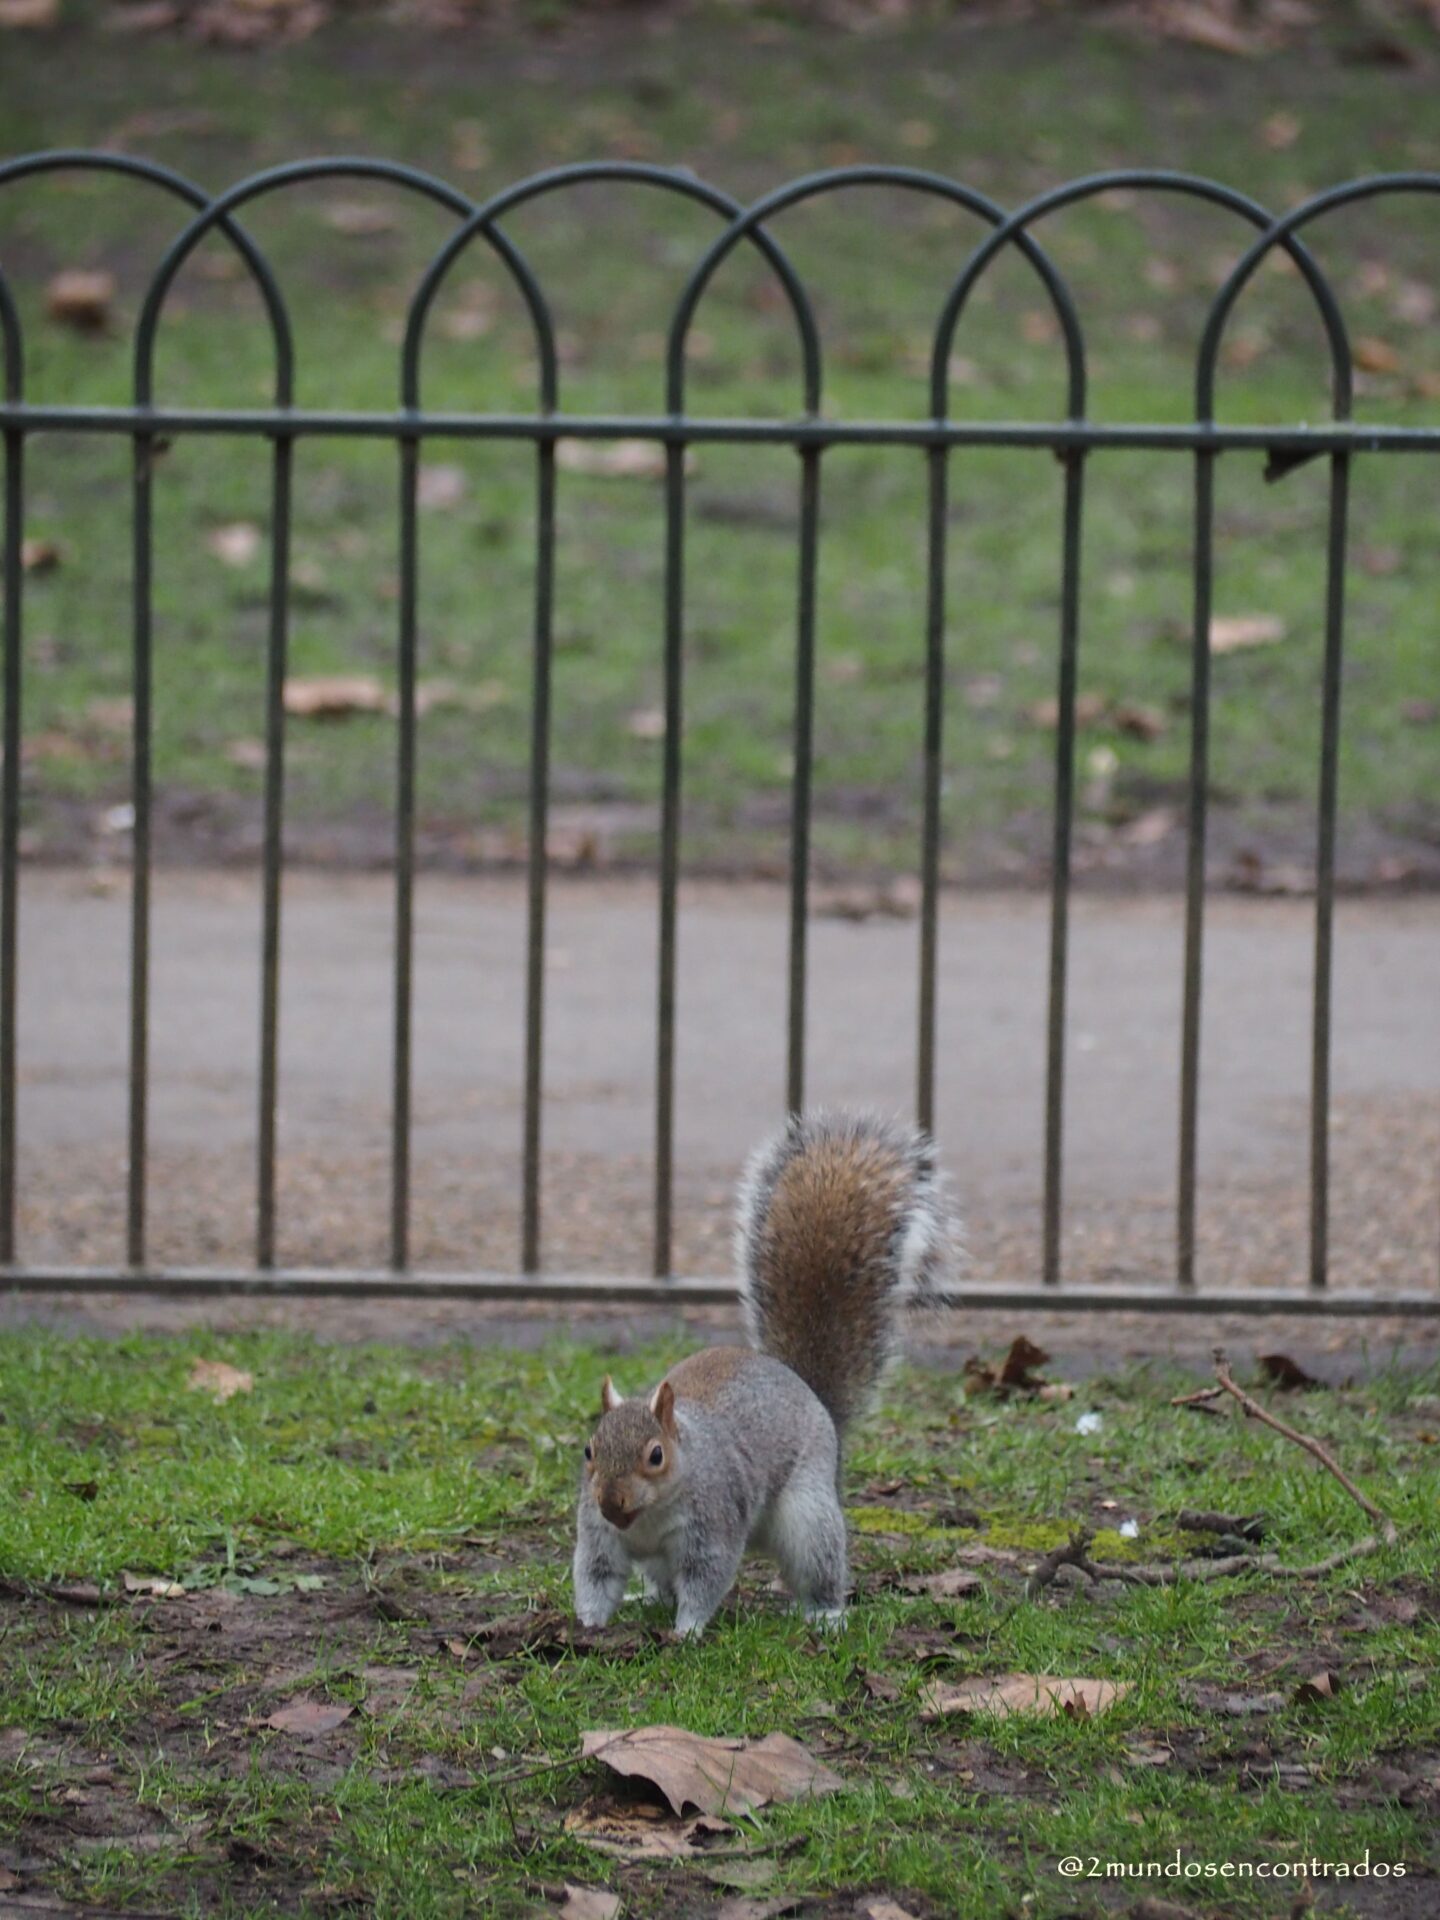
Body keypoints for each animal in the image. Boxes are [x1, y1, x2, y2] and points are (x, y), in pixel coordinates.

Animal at [572, 1109, 956, 1638]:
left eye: (655, 1455)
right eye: (589, 1450)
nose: (611, 1502)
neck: (646, 1517)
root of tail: (808, 1392)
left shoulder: (712, 1527)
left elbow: (705, 1581)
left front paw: (687, 1630)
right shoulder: (599, 1536)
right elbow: (596, 1577)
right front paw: (588, 1623)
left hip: (809, 1517)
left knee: (820, 1566)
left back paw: (825, 1614)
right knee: (660, 1579)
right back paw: (647, 1597)